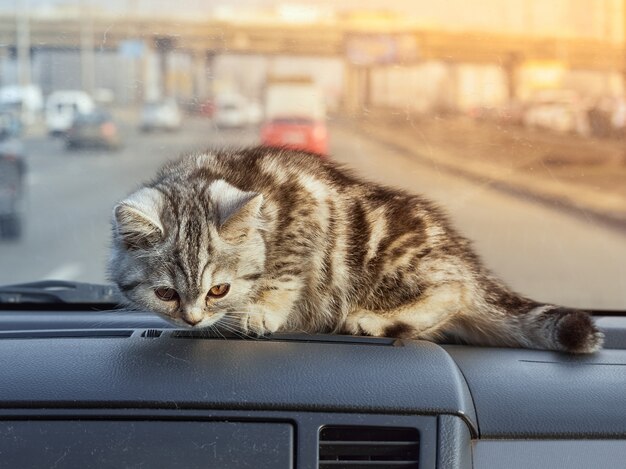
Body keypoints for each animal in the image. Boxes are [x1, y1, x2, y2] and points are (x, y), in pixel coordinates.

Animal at [109, 146, 604, 352]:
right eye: (167, 294)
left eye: (219, 290)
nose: (193, 319)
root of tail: (460, 252)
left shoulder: (307, 207)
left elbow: (285, 269)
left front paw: (261, 308)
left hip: (388, 250)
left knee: (454, 292)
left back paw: (374, 319)